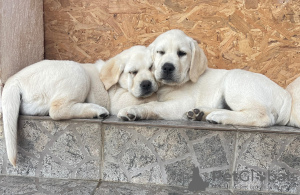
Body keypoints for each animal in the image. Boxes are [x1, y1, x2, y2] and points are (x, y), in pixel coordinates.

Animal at [2, 45, 158, 166]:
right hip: (77, 72)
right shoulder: (117, 99)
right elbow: (145, 97)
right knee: (57, 109)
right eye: (133, 72)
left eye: (151, 68)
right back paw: (96, 110)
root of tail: (14, 79)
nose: (146, 84)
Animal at [118, 28, 294, 128]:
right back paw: (201, 113)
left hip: (235, 83)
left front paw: (132, 111)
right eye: (160, 52)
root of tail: (285, 95)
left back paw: (219, 116)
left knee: (263, 116)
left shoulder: (181, 103)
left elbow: (153, 105)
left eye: (182, 53)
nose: (167, 67)